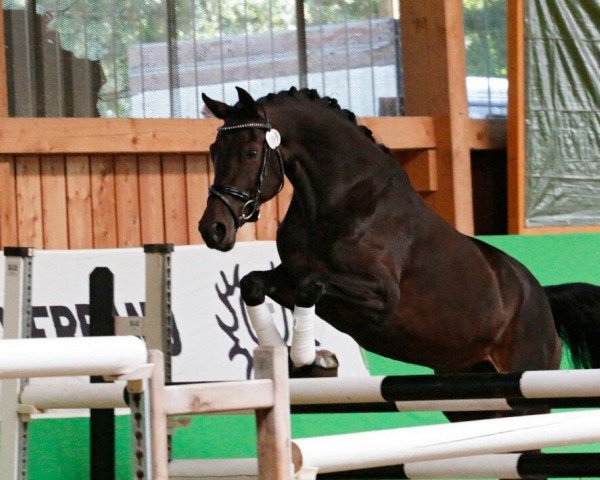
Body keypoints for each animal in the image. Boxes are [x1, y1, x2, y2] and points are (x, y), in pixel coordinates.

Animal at [199, 89, 600, 416]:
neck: (335, 203)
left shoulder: (380, 297)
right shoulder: (287, 275)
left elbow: (310, 286)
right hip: (468, 395)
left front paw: (313, 362)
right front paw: (292, 364)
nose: (212, 229)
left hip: (527, 393)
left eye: (251, 152)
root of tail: (542, 298)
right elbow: (254, 284)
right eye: (215, 151)